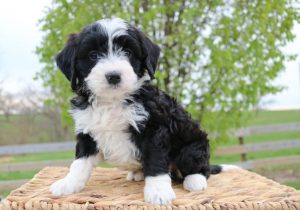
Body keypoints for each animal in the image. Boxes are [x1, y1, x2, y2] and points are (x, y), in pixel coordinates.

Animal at [49, 18, 237, 205]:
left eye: (128, 52)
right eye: (93, 55)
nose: (114, 76)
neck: (113, 100)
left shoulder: (153, 130)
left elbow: (155, 161)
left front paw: (158, 191)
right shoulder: (87, 131)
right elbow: (79, 163)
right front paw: (68, 184)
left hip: (193, 147)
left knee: (200, 167)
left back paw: (195, 180)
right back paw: (138, 173)